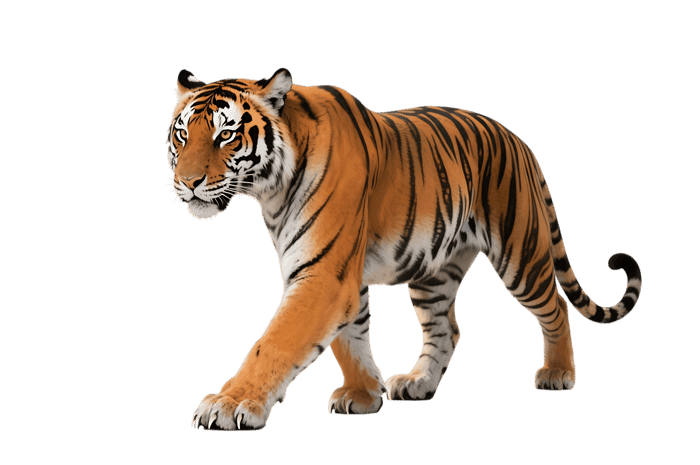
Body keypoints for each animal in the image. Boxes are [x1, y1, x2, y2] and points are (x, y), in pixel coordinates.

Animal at [166, 68, 642, 431]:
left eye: (226, 135)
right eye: (181, 135)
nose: (188, 182)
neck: (271, 191)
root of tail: (519, 140)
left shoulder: (324, 275)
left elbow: (276, 342)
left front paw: (229, 404)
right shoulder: (340, 274)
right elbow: (350, 338)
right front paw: (363, 394)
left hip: (519, 254)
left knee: (556, 308)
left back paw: (558, 373)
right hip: (433, 272)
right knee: (446, 329)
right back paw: (419, 382)